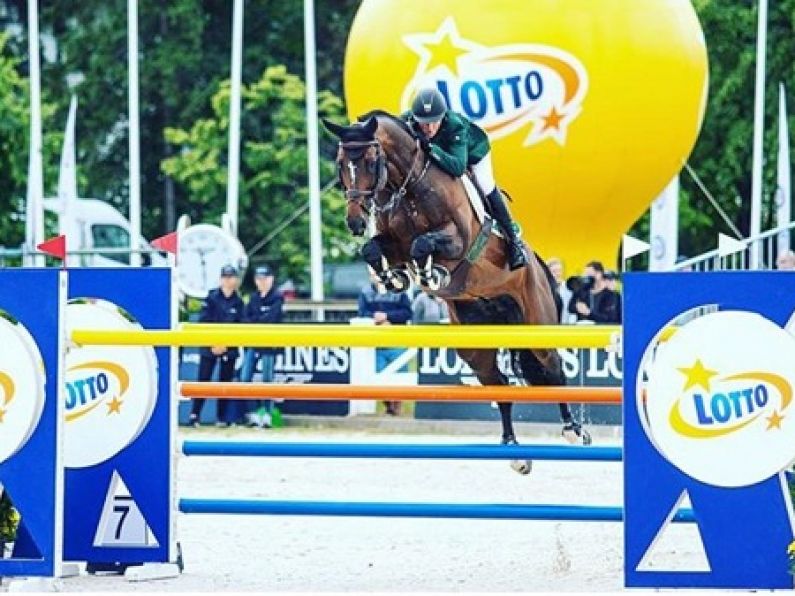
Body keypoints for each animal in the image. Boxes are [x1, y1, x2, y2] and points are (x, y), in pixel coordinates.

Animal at [324, 113, 592, 474]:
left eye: (370, 161)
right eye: (340, 164)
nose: (354, 221)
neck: (408, 187)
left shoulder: (458, 241)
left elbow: (423, 244)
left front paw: (429, 273)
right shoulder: (392, 244)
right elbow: (373, 249)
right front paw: (394, 278)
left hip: (536, 325)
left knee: (553, 371)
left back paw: (573, 431)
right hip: (474, 342)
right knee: (498, 384)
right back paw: (514, 451)